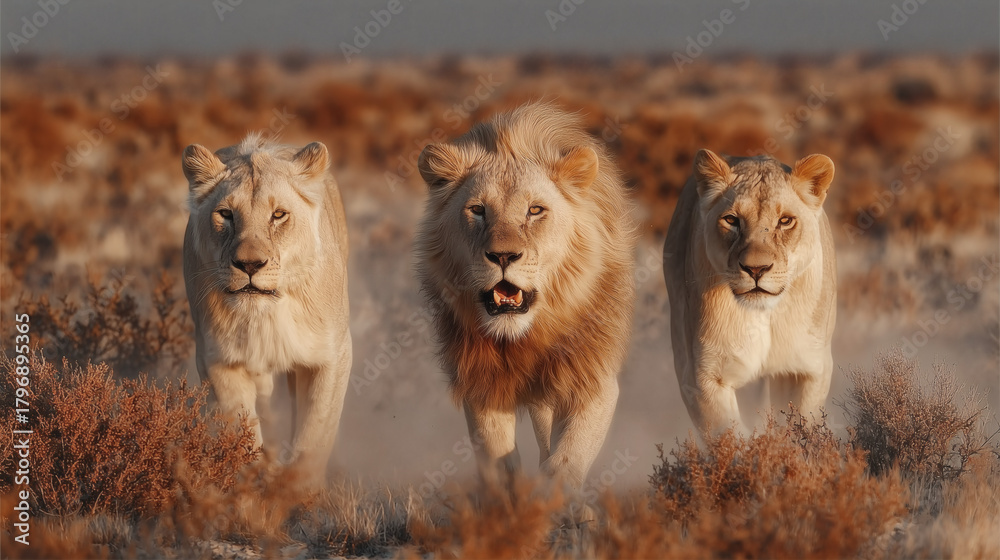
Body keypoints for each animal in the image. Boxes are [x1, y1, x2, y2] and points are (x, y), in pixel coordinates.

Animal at [182, 134, 352, 484]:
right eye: (225, 214)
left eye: (278, 215)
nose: (249, 264)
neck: (267, 313)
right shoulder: (217, 358)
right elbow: (239, 426)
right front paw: (255, 477)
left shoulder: (333, 354)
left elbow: (316, 429)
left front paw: (297, 487)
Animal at [414, 102, 637, 497]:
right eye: (478, 210)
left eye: (535, 210)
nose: (503, 256)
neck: (526, 336)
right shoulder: (481, 382)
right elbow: (497, 455)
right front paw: (511, 500)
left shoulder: (591, 378)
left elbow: (566, 458)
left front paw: (554, 499)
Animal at [663, 149, 837, 437]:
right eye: (732, 220)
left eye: (785, 221)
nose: (756, 269)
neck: (765, 315)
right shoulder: (703, 376)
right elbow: (731, 437)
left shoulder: (808, 368)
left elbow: (800, 426)